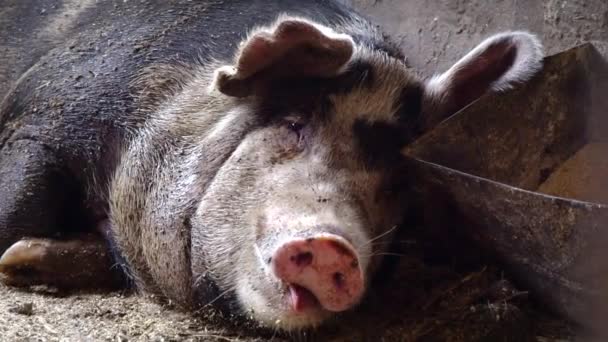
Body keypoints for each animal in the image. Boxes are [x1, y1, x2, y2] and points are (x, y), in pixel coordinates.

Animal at [0, 0, 540, 332]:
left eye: (396, 183)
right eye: (294, 123)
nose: (331, 246)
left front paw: (21, 260)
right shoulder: (51, 116)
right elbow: (17, 207)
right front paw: (14, 261)